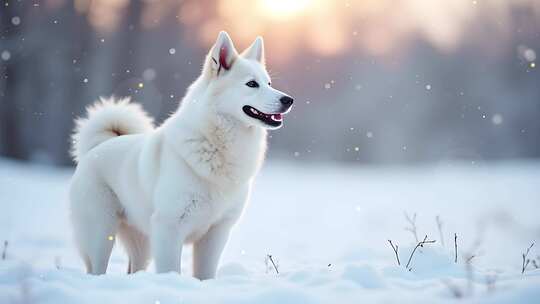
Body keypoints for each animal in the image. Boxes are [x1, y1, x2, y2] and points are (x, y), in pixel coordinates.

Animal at [70, 32, 296, 280]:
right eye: (252, 84)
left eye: (269, 83)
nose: (288, 100)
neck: (217, 143)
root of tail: (98, 147)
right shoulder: (169, 226)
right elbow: (171, 268)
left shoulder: (216, 232)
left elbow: (205, 274)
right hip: (101, 234)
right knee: (96, 268)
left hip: (142, 242)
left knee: (134, 268)